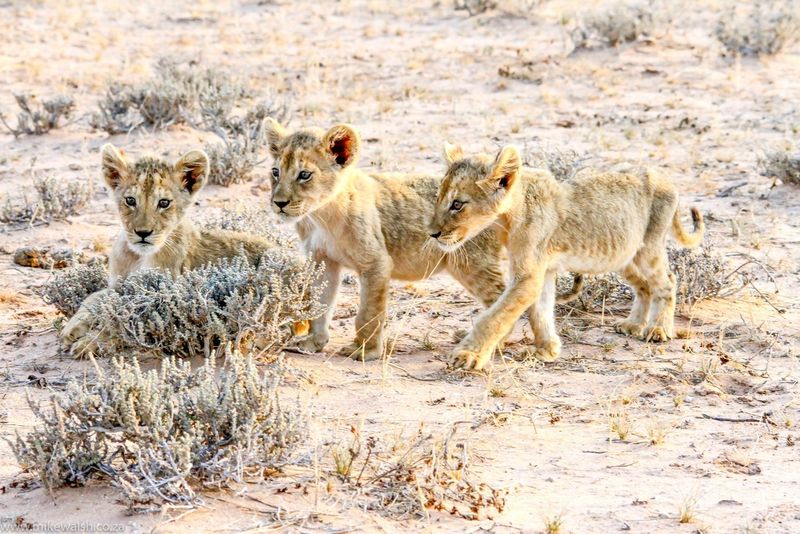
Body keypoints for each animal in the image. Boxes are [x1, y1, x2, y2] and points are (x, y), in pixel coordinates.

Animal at [60, 143, 308, 356]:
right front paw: (73, 327)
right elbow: (96, 296)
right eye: (130, 200)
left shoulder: (158, 302)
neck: (138, 256)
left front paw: (89, 342)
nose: (143, 233)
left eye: (164, 203)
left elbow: (121, 323)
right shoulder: (120, 285)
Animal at [429, 143, 704, 370]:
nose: (432, 233)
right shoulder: (544, 270)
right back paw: (633, 324)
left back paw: (658, 329)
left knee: (667, 281)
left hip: (648, 249)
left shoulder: (528, 276)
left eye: (457, 204)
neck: (508, 217)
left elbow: (494, 317)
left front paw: (468, 356)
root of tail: (665, 177)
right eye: (438, 197)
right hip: (623, 255)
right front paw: (547, 350)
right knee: (644, 286)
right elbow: (540, 311)